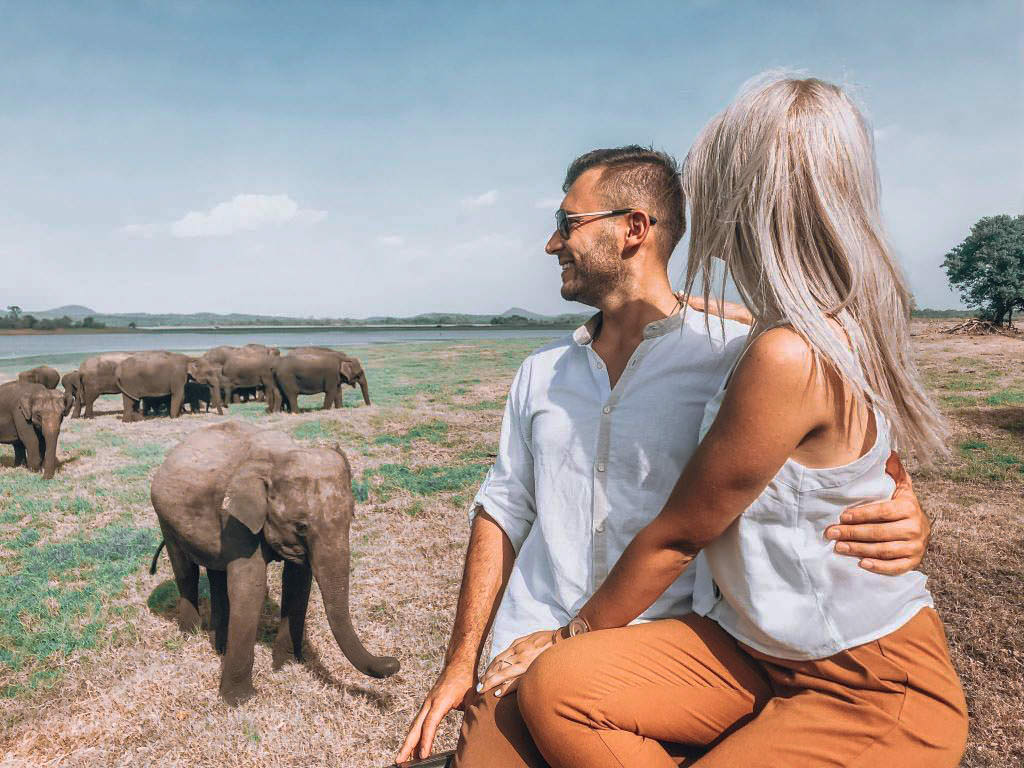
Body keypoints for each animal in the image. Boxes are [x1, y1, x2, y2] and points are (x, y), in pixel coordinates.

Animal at [149, 423, 397, 708]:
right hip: (164, 518)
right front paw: (238, 701)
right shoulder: (236, 520)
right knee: (185, 572)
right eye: (301, 526)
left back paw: (218, 646)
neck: (277, 457)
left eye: (352, 515)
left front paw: (287, 664)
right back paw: (190, 635)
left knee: (217, 575)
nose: (394, 662)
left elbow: (297, 583)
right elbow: (250, 589)